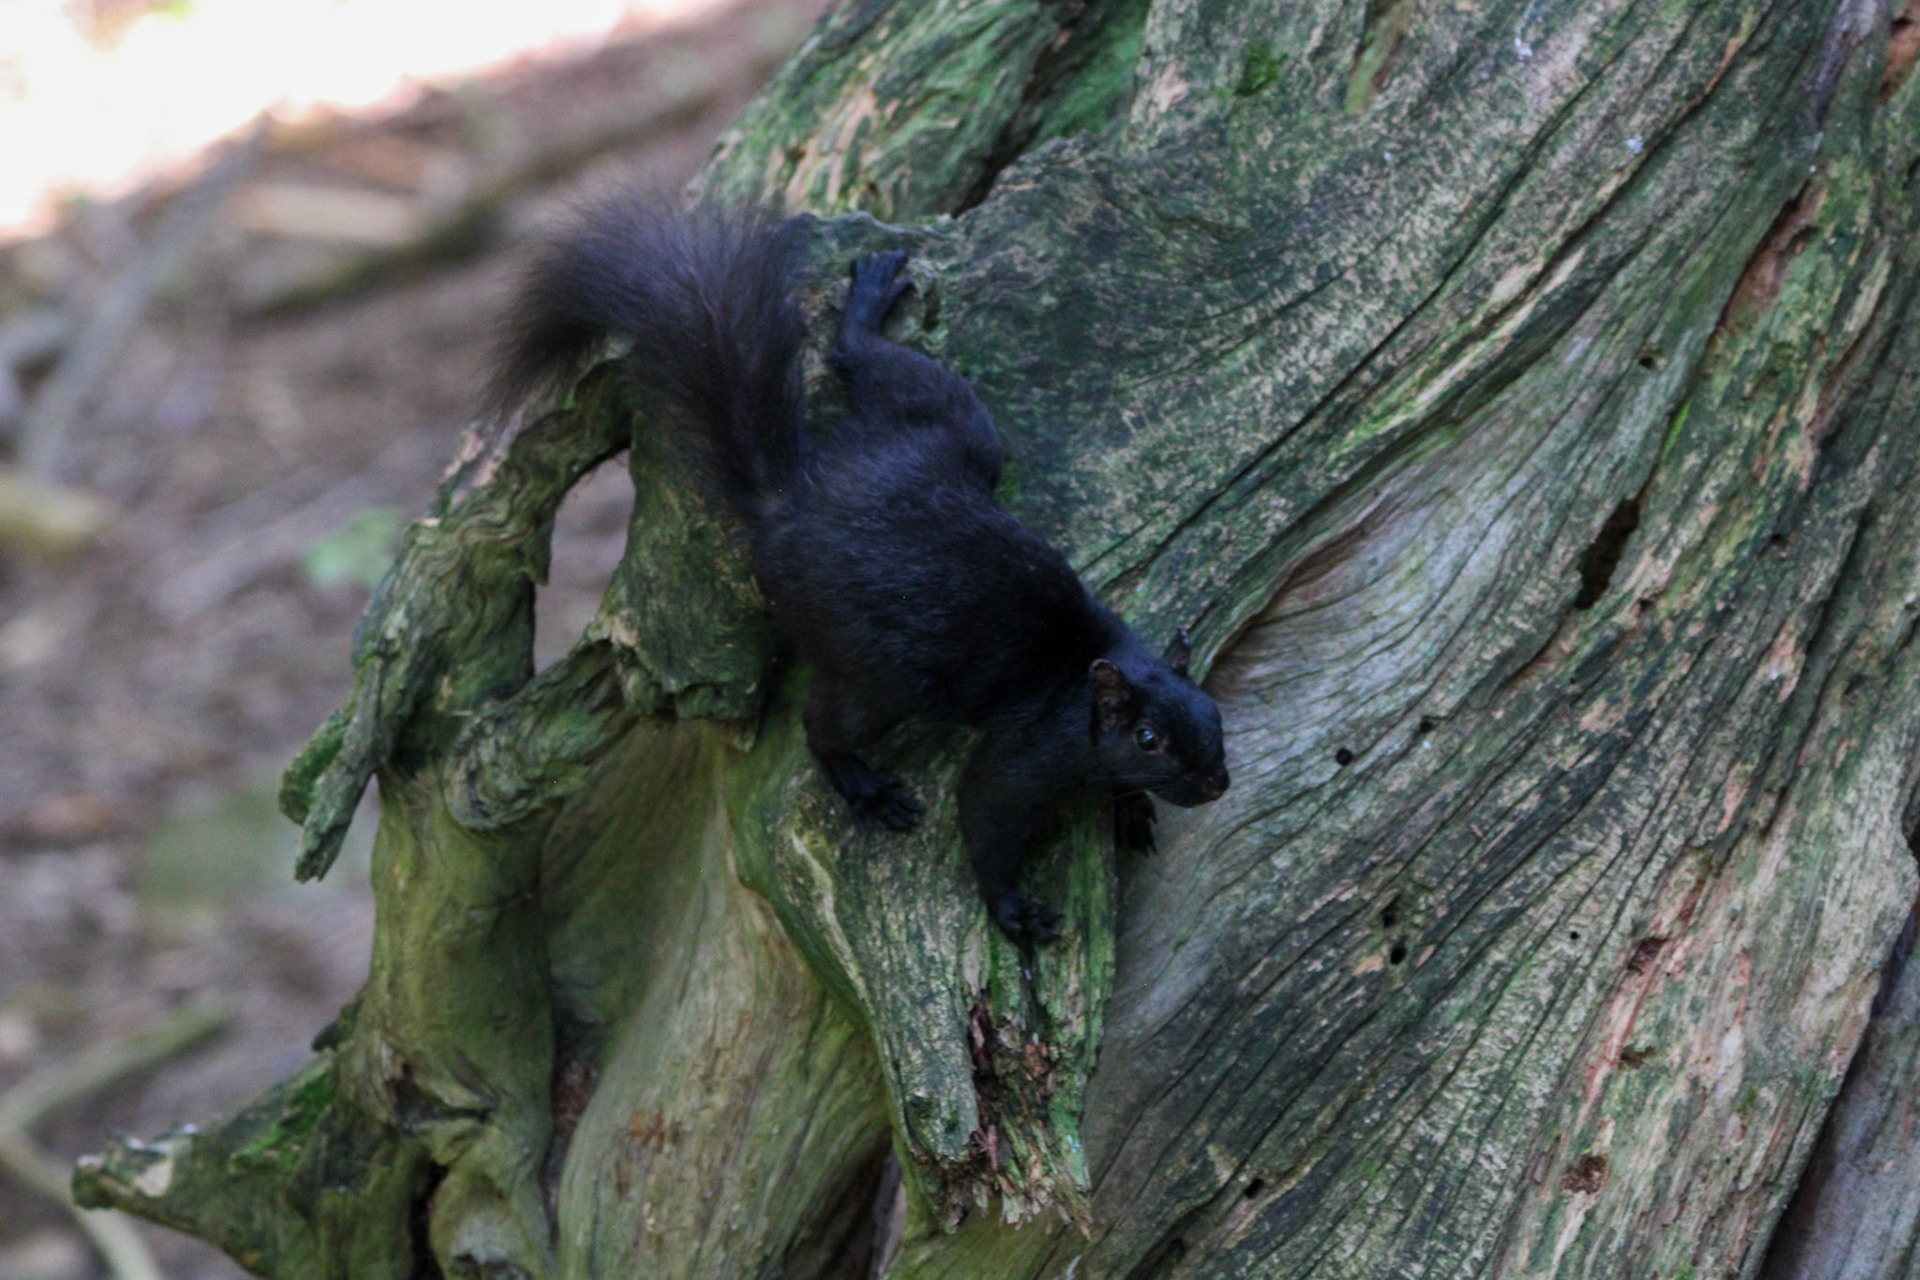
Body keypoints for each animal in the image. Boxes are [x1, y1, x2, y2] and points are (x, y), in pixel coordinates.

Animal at [488, 195, 1229, 941]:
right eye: (1147, 737)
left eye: (1216, 714)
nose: (1216, 784)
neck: (1087, 675)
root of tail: (793, 504)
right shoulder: (1029, 752)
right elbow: (985, 813)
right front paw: (1013, 911)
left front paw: (1132, 808)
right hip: (878, 671)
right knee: (823, 725)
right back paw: (864, 787)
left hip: (945, 429)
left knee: (871, 365)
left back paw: (868, 306)